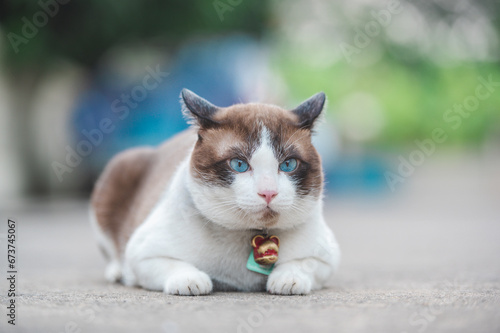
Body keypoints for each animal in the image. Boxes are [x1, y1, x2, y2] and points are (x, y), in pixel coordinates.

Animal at [89, 87, 340, 294]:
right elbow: (173, 265)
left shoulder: (326, 258)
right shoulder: (142, 253)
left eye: (288, 165)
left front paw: (288, 278)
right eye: (239, 164)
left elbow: (301, 264)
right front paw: (191, 280)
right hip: (121, 164)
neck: (249, 234)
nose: (268, 192)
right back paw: (116, 271)